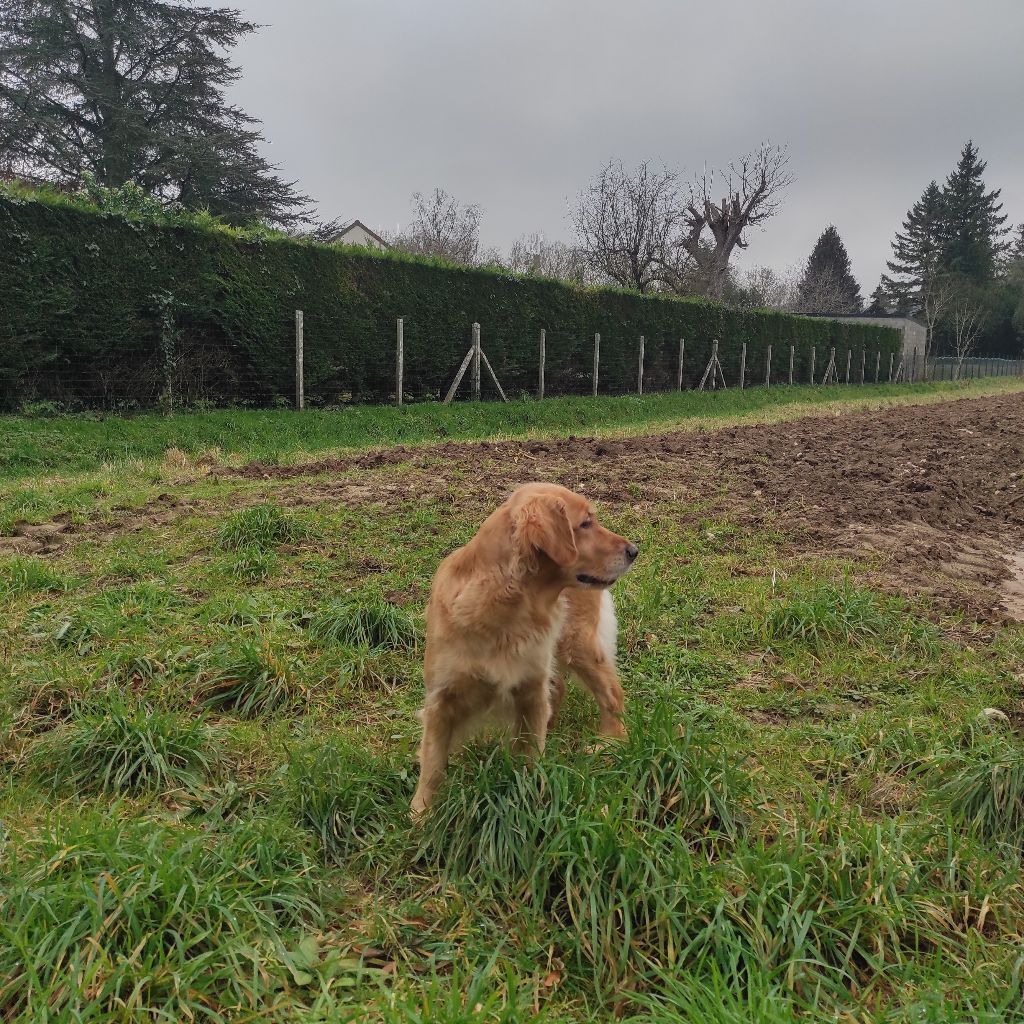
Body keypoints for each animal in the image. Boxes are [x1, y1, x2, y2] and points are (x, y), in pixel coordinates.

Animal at [409, 481, 638, 815]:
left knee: (611, 693)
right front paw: (422, 814)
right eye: (585, 523)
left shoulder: (530, 691)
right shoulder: (442, 696)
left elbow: (529, 756)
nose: (634, 550)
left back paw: (611, 742)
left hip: (575, 644)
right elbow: (433, 763)